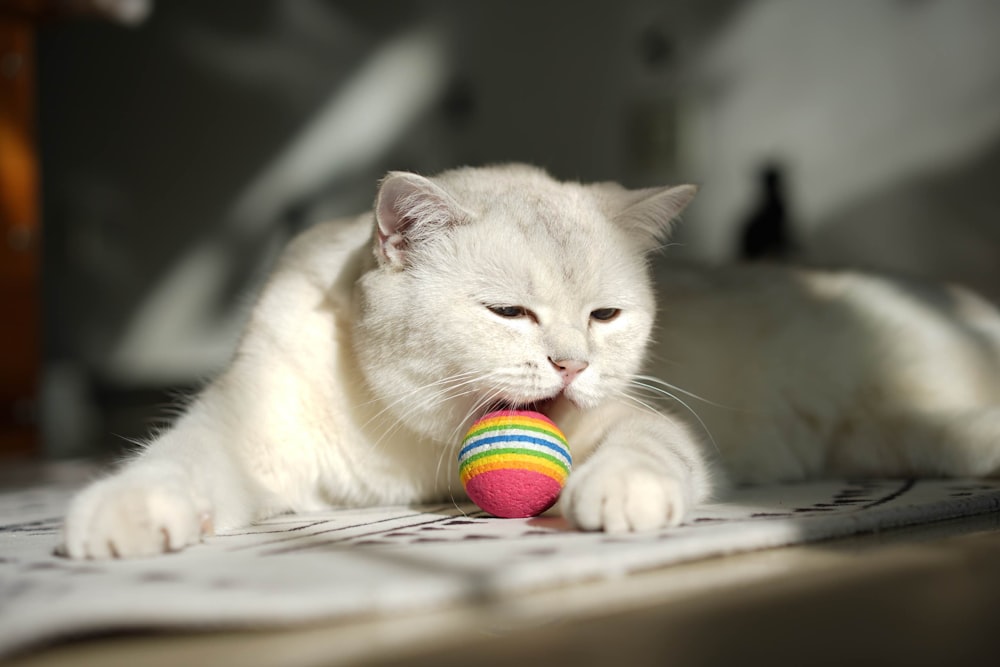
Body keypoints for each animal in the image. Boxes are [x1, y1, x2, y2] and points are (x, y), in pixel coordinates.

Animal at [60, 166, 1000, 560]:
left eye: (605, 316)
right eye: (509, 312)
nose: (571, 364)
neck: (417, 439)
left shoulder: (638, 420)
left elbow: (644, 451)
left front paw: (618, 499)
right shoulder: (250, 418)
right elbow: (176, 458)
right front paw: (126, 513)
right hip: (894, 434)